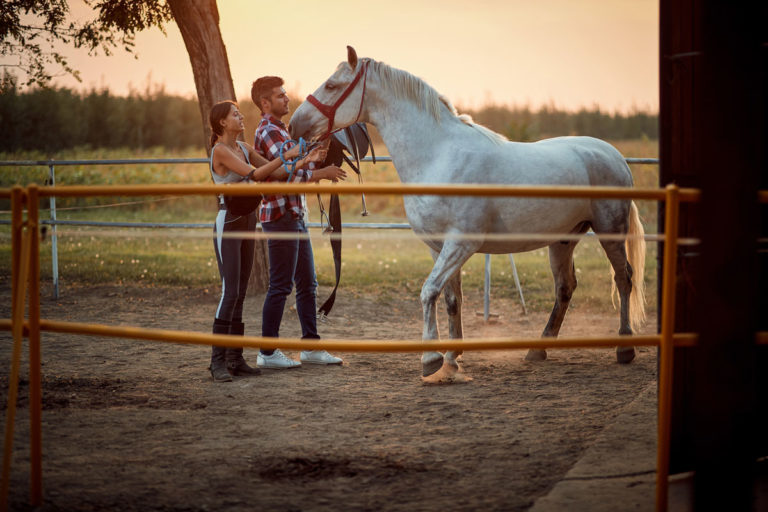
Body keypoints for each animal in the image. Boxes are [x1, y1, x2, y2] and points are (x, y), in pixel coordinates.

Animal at [289, 46, 646, 382]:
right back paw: (538, 350)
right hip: (563, 240)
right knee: (565, 288)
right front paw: (452, 358)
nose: (295, 125)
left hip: (609, 231)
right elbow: (451, 299)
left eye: (332, 85)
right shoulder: (438, 247)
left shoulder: (461, 244)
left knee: (623, 277)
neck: (438, 156)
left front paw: (431, 359)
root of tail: (612, 155)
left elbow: (428, 292)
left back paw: (624, 348)